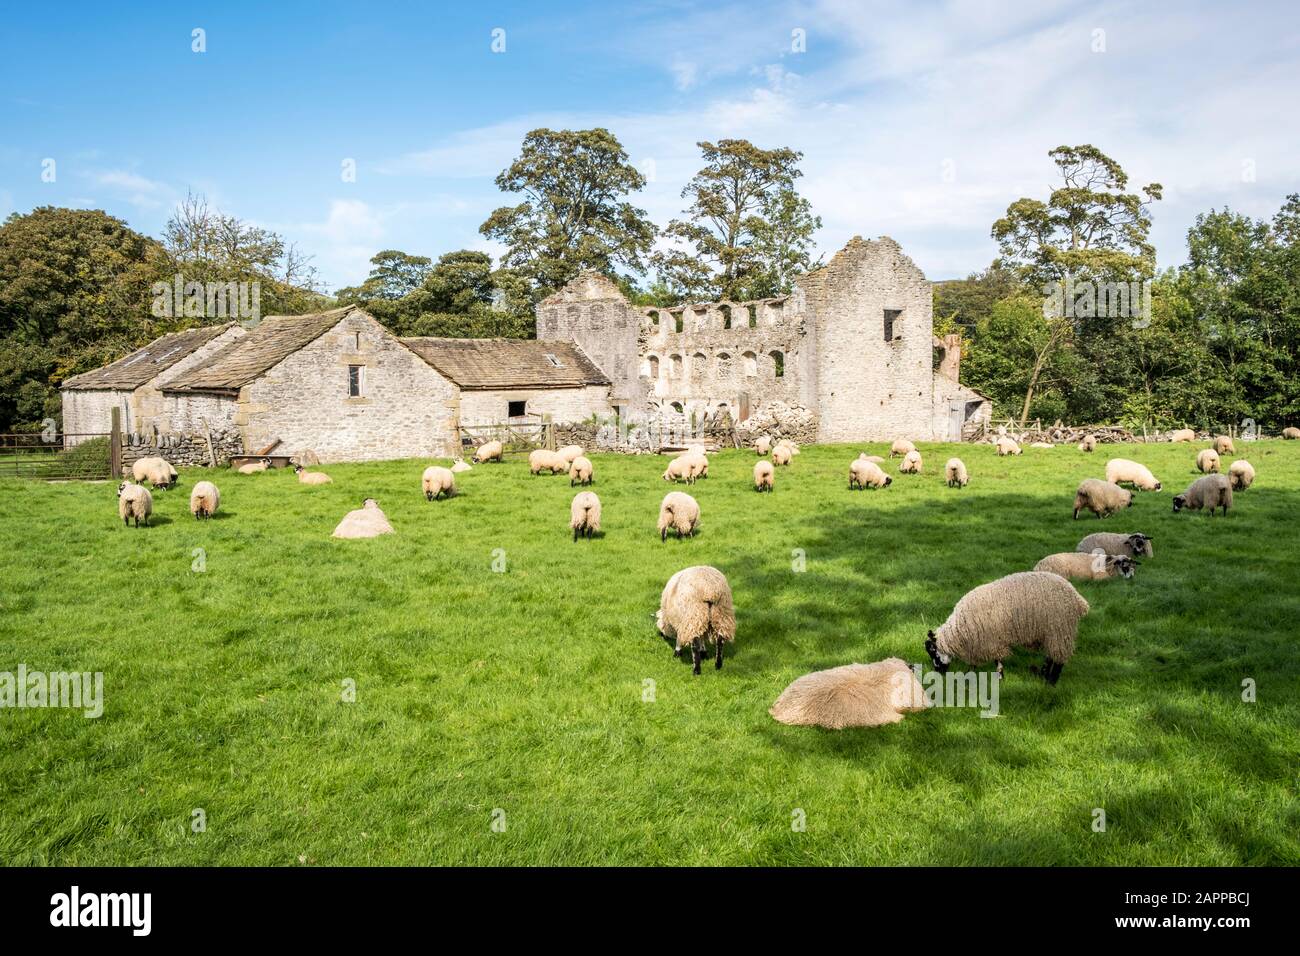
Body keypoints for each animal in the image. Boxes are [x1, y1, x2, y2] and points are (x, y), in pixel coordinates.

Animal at [920, 572, 1092, 686]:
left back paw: (1051, 681)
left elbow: (998, 659)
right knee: (1051, 655)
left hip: (1060, 629)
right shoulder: (979, 642)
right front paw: (970, 673)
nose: (938, 673)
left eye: (933, 651)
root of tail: (1078, 599)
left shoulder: (991, 640)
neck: (960, 630)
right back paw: (1043, 674)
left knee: (1058, 658)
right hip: (1052, 632)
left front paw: (1000, 677)